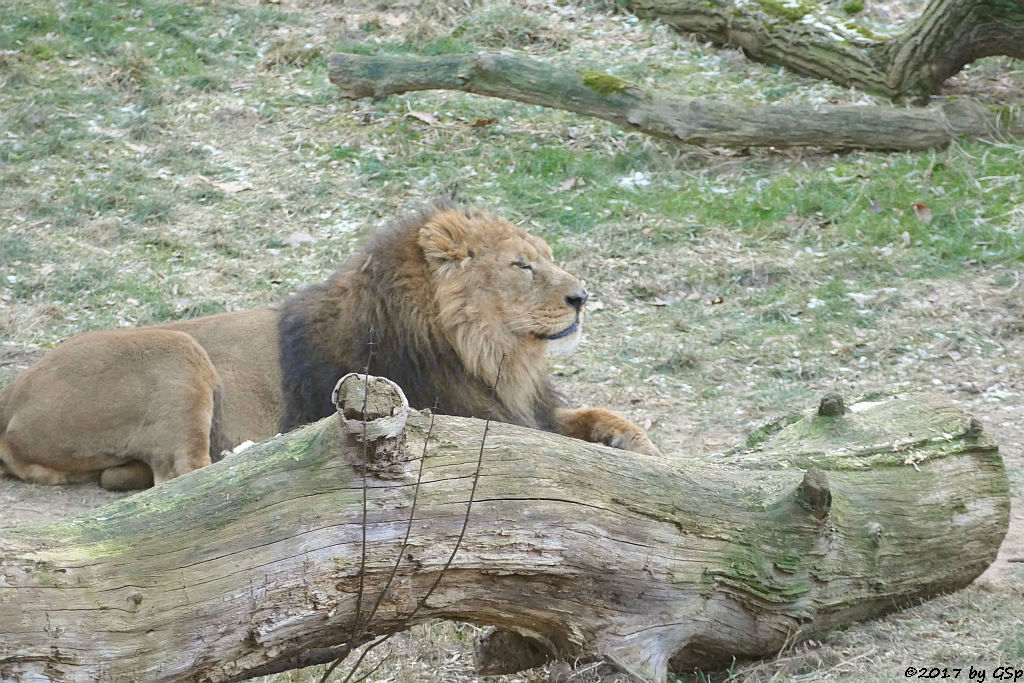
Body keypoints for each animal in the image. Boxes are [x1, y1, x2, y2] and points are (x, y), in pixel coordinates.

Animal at [2, 200, 655, 489]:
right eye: (523, 266)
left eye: (548, 257)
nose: (582, 297)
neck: (492, 355)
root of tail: (13, 391)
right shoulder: (471, 418)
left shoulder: (524, 405)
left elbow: (592, 415)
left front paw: (635, 444)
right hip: (177, 350)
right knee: (183, 477)